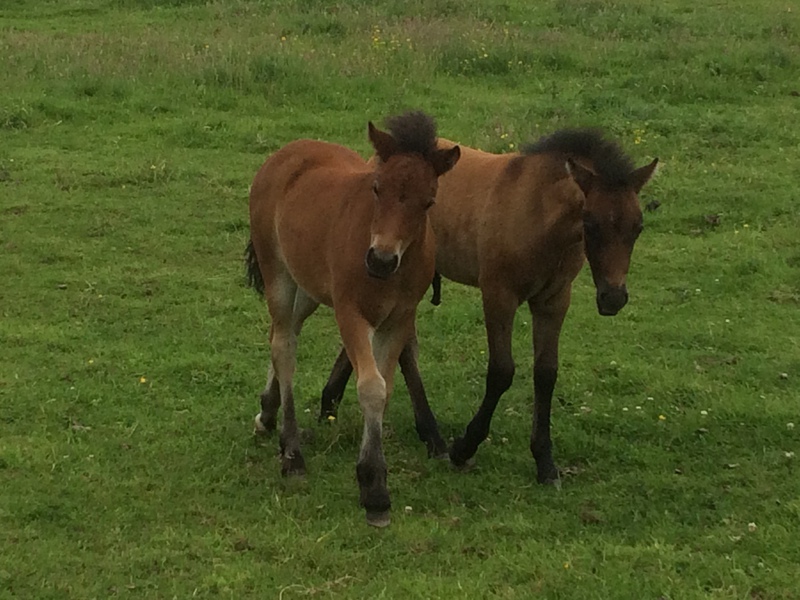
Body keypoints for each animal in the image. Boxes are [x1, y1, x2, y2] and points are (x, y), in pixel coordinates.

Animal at [244, 112, 460, 524]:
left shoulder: (398, 319)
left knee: (283, 331)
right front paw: (374, 487)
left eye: (429, 202)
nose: (381, 259)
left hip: (309, 286)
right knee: (284, 346)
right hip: (278, 273)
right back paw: (292, 453)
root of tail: (286, 153)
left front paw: (375, 483)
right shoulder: (350, 314)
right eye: (377, 188)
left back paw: (268, 411)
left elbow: (386, 388)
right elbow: (371, 387)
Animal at [318, 129, 656, 486]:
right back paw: (433, 437)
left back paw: (331, 403)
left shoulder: (553, 301)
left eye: (638, 227)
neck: (537, 212)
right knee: (406, 349)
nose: (613, 297)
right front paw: (464, 447)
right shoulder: (498, 294)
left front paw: (545, 462)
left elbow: (546, 373)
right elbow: (501, 371)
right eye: (590, 223)